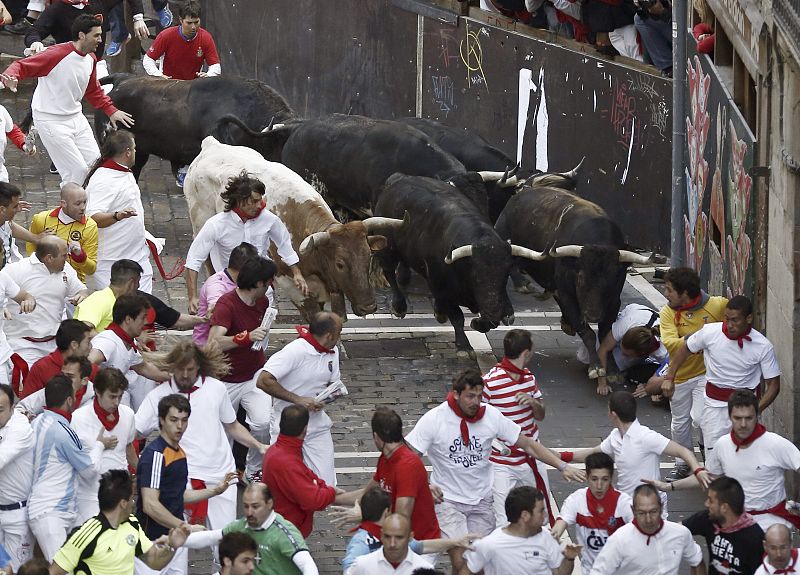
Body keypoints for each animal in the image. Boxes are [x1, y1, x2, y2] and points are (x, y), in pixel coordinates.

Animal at [184, 138, 404, 322]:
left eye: (368, 257)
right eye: (340, 264)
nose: (369, 307)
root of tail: (212, 144)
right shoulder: (292, 285)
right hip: (200, 223)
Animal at [496, 187, 652, 380]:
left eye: (613, 279)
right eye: (581, 278)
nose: (593, 315)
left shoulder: (614, 301)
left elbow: (605, 334)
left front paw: (613, 370)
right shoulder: (569, 296)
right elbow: (588, 333)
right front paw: (596, 367)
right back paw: (521, 284)